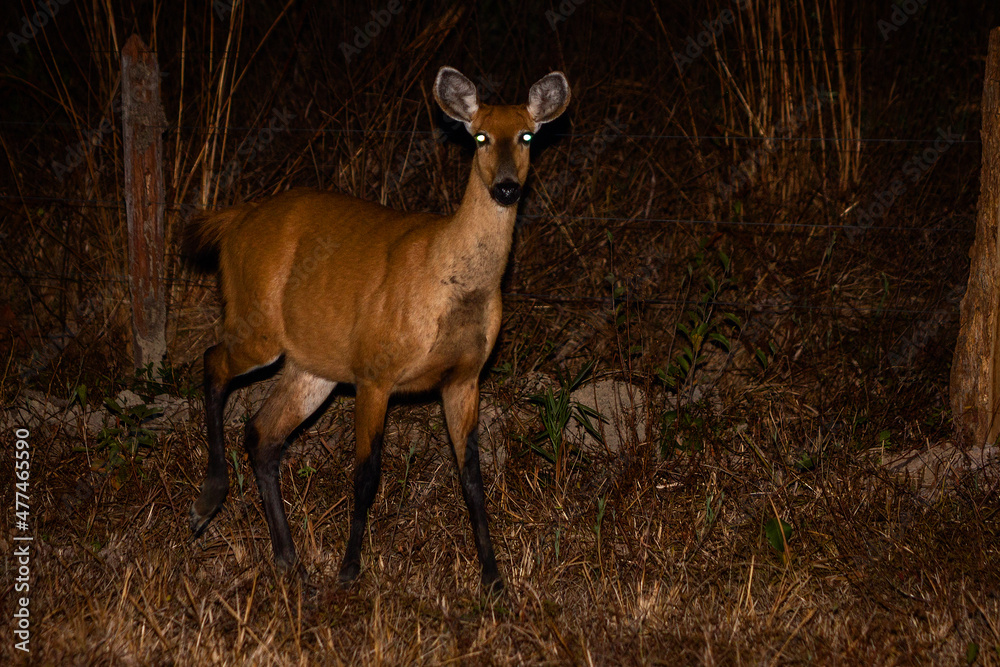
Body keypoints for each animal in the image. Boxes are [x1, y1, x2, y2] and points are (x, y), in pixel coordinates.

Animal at [188, 65, 572, 592]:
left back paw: (290, 562)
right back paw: (209, 500)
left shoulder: (464, 377)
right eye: (480, 136)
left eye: (527, 136)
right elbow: (367, 475)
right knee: (212, 363)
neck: (450, 283)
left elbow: (472, 479)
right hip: (257, 324)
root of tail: (235, 220)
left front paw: (493, 578)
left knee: (263, 434)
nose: (507, 188)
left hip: (313, 368)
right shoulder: (374, 370)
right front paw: (349, 570)